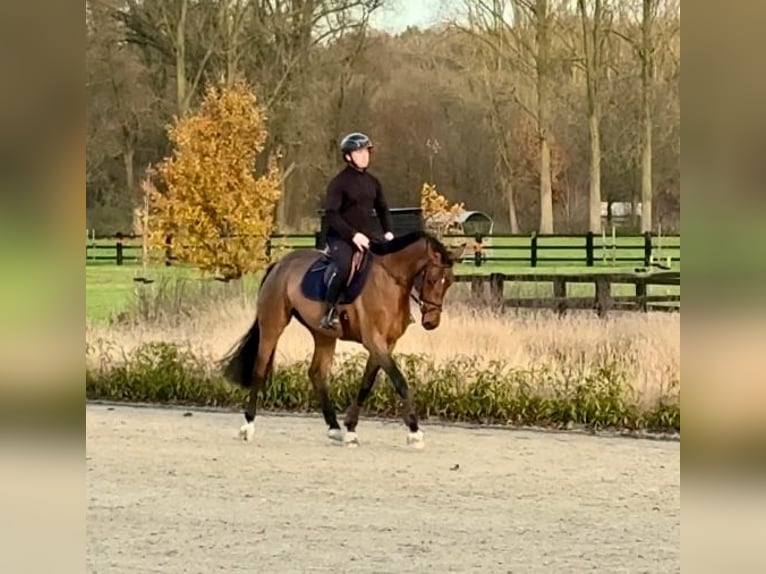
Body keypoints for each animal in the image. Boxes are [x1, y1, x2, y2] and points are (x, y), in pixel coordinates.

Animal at [219, 230, 464, 450]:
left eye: (450, 281)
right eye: (431, 279)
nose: (431, 322)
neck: (390, 279)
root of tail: (279, 265)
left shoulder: (386, 344)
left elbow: (367, 383)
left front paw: (351, 429)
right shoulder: (375, 341)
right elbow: (399, 381)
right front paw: (414, 432)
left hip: (323, 335)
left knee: (317, 373)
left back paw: (334, 428)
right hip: (272, 325)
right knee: (259, 370)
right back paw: (247, 426)